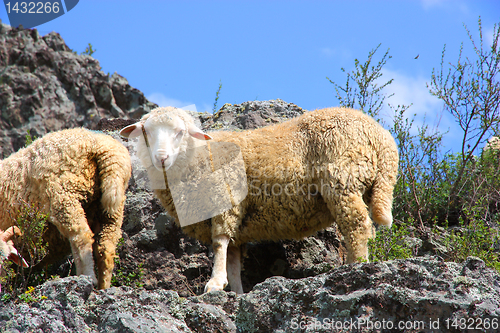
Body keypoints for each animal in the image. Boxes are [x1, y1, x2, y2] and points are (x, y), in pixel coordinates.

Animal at [0, 127, 131, 288]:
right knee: (106, 246)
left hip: (64, 195)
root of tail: (99, 144)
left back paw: (86, 277)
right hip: (111, 204)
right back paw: (103, 286)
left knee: (81, 236)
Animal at [120, 105, 398, 292]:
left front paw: (214, 283)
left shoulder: (226, 201)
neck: (198, 157)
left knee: (357, 225)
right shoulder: (237, 222)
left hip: (343, 179)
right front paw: (236, 291)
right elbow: (233, 259)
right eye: (146, 132)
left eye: (180, 132)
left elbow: (219, 243)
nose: (161, 158)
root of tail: (382, 137)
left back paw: (355, 266)